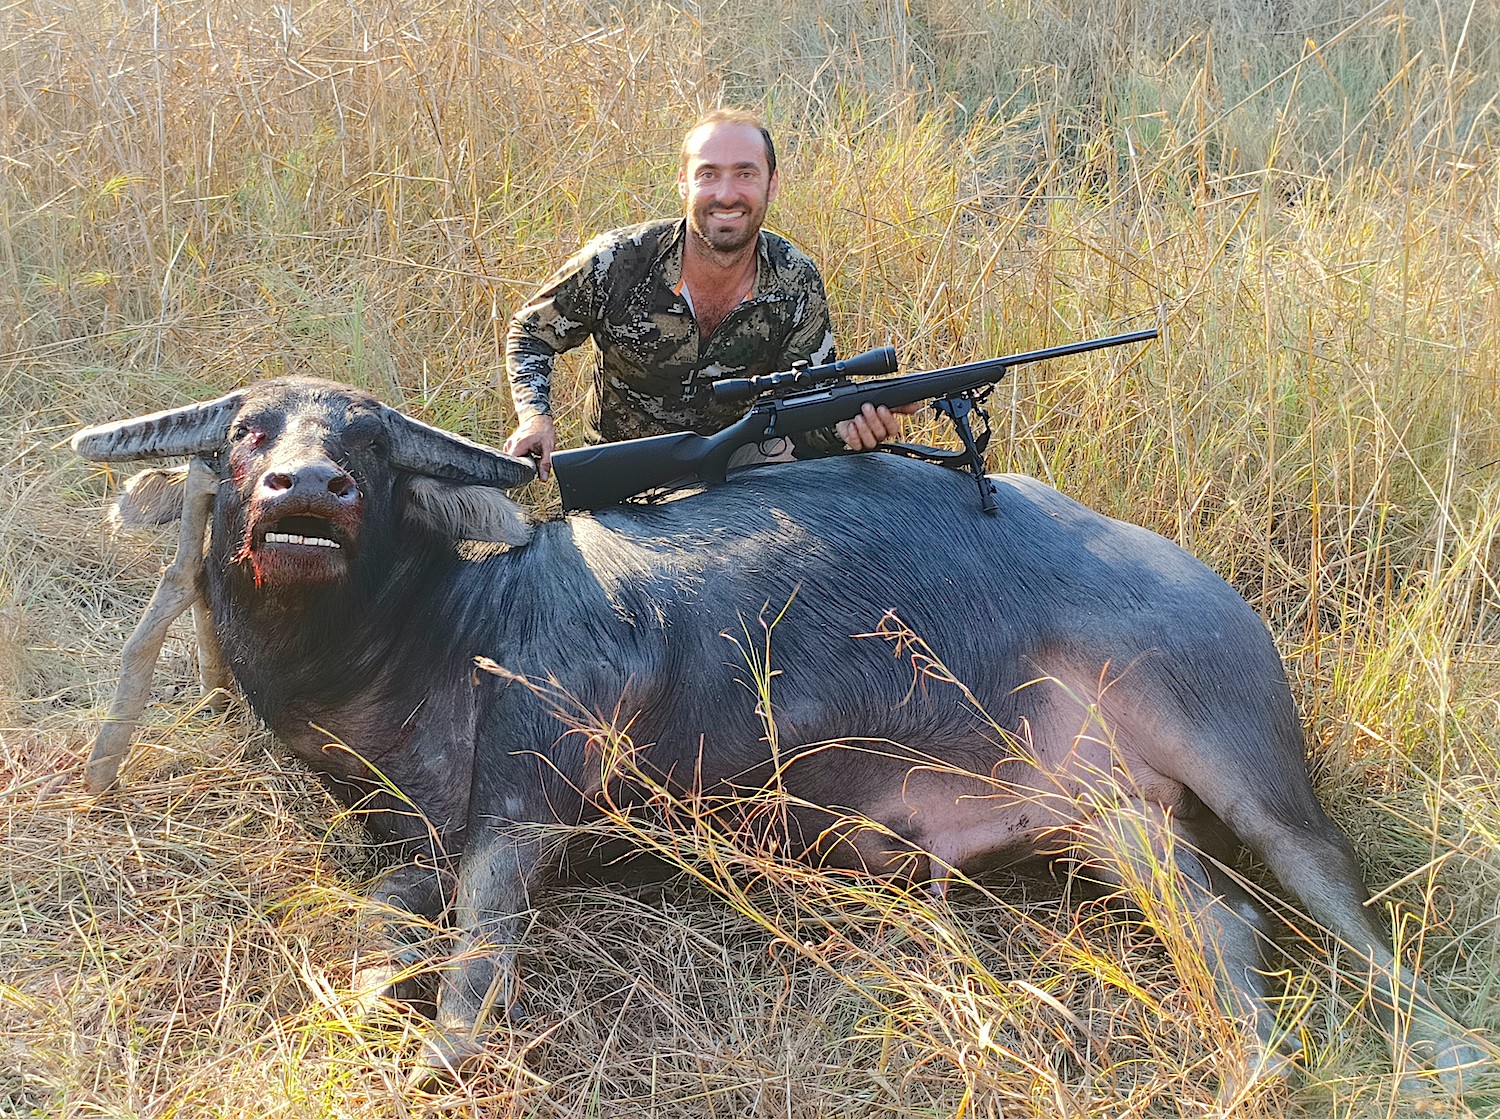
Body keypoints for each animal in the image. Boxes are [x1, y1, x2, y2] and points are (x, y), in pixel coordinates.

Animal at [76, 375, 1482, 1080]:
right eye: (249, 431)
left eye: (365, 441)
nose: (305, 490)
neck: (437, 622)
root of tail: (1204, 581)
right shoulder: (406, 840)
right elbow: (384, 926)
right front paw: (375, 1000)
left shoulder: (527, 802)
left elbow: (482, 946)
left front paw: (440, 1056)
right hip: (1113, 821)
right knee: (1223, 928)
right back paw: (1253, 1069)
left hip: (1246, 766)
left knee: (1340, 906)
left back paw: (1447, 1054)